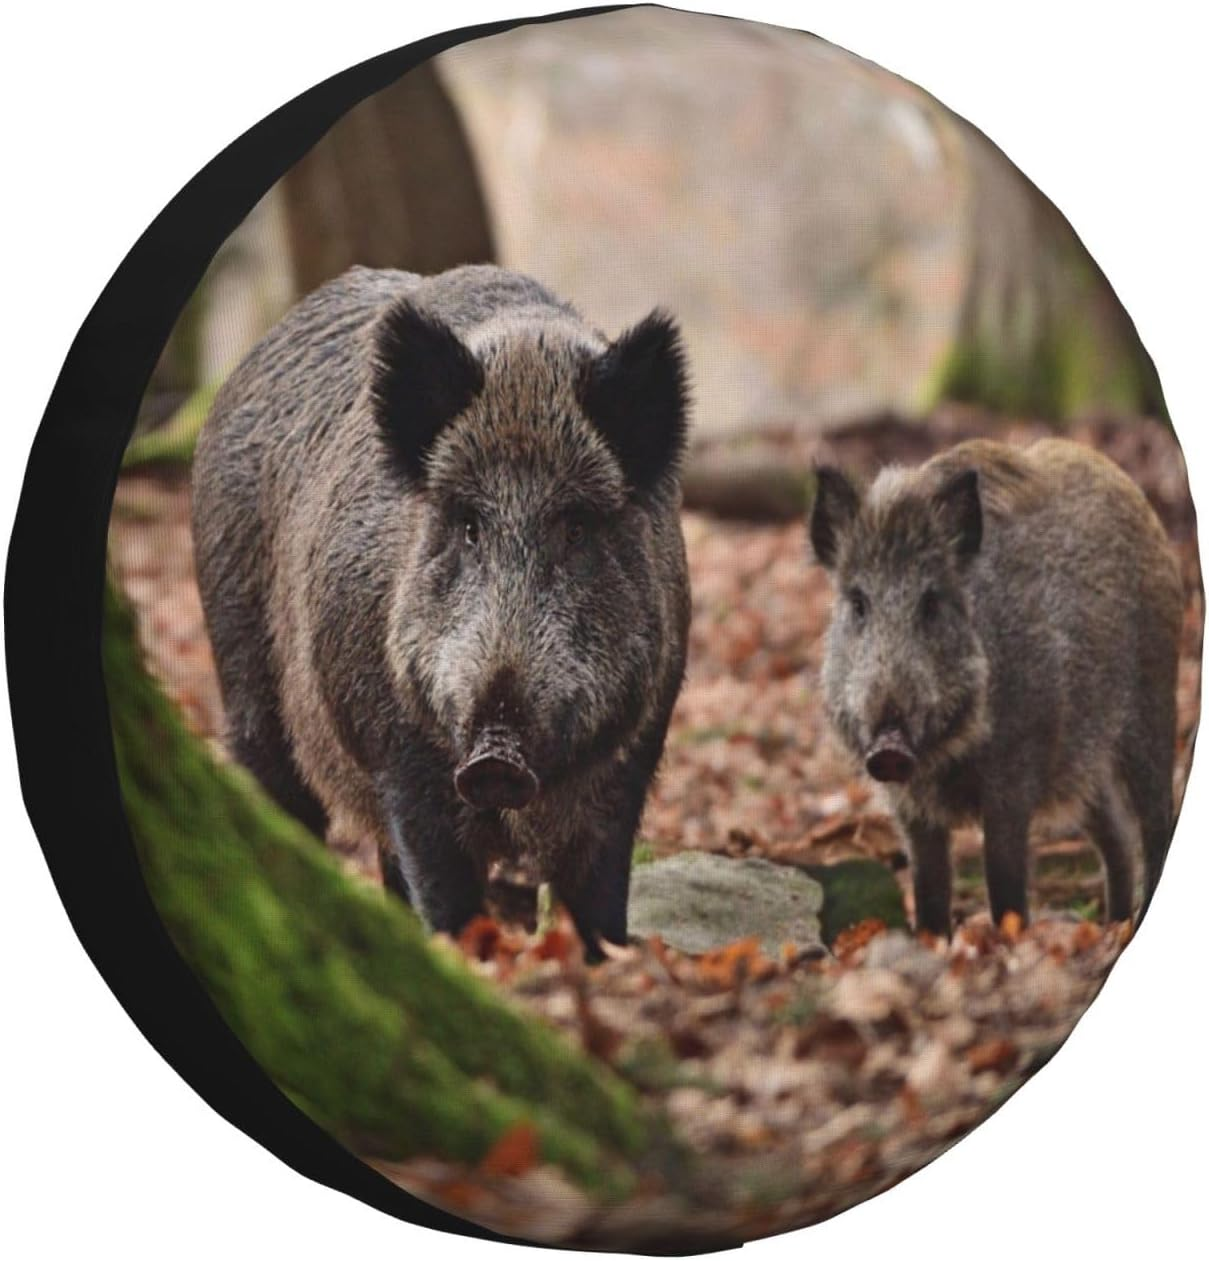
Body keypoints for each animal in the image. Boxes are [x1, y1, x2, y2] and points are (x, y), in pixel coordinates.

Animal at [191, 264, 691, 958]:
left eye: (576, 526)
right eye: (469, 524)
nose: (495, 758)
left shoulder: (633, 754)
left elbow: (597, 894)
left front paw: (601, 964)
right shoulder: (398, 753)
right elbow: (442, 886)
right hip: (241, 663)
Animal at [809, 438, 1183, 934]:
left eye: (931, 602)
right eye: (857, 602)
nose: (890, 746)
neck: (945, 758)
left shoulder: (1015, 770)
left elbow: (1003, 875)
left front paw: (1010, 939)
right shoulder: (907, 805)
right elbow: (929, 886)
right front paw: (935, 941)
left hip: (1153, 701)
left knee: (1156, 821)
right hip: (1081, 760)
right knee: (1117, 836)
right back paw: (1114, 925)